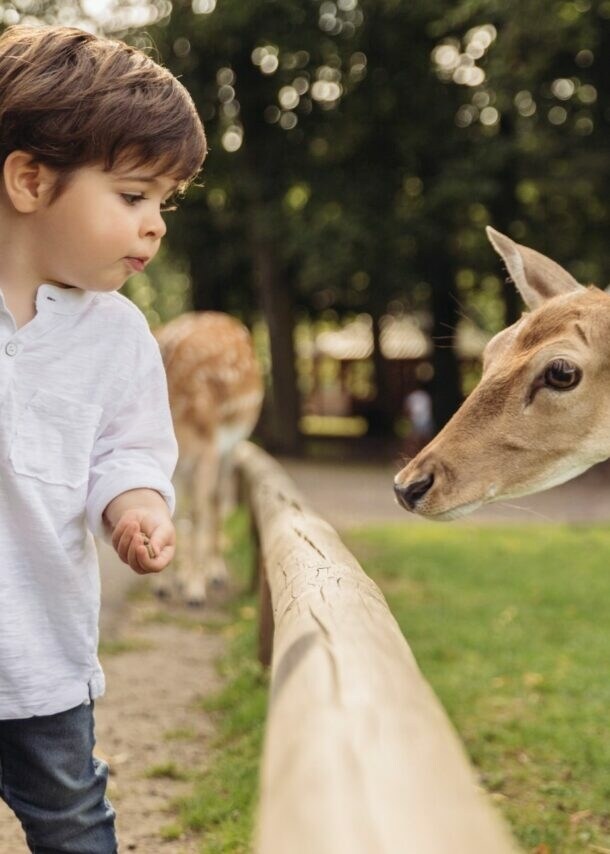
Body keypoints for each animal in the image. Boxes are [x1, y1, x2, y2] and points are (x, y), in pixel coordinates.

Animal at [152, 311, 263, 605]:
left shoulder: (208, 449)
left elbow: (199, 511)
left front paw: (195, 591)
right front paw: (163, 586)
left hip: (232, 445)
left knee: (215, 499)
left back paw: (214, 574)